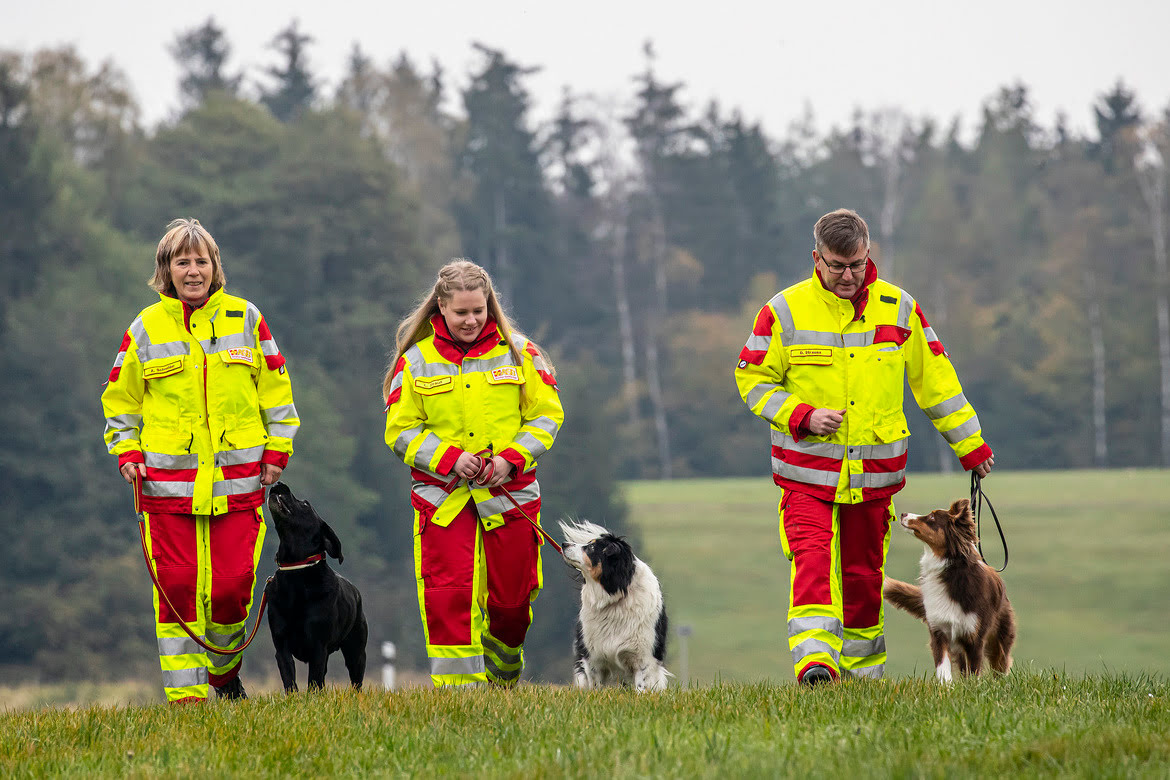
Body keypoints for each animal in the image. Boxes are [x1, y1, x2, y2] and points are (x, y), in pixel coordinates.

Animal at [267, 481, 367, 696]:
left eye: (305, 504)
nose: (279, 483)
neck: (297, 573)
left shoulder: (318, 647)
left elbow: (314, 681)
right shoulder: (281, 645)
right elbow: (289, 679)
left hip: (356, 651)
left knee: (356, 681)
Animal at [556, 521, 669, 692]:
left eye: (591, 547)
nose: (564, 544)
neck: (614, 597)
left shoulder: (644, 657)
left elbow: (641, 685)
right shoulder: (593, 657)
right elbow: (595, 685)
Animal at [879, 500, 1010, 682]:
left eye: (932, 517)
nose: (903, 514)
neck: (948, 569)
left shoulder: (974, 636)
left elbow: (975, 670)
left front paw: (973, 686)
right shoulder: (939, 630)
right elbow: (943, 667)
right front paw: (946, 686)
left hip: (1000, 634)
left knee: (1000, 661)